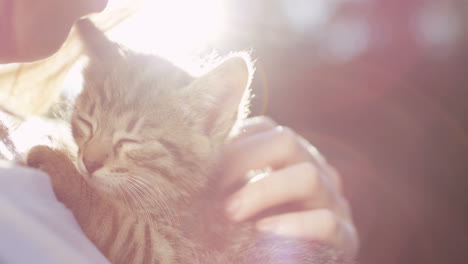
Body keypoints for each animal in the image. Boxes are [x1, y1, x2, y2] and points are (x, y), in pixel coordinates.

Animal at [29, 19, 352, 264]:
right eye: (87, 123)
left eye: (131, 140)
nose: (89, 161)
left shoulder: (179, 253)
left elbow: (118, 224)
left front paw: (60, 165)